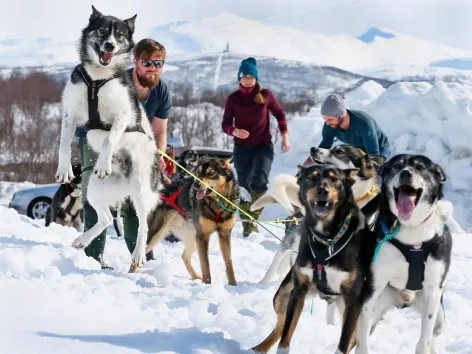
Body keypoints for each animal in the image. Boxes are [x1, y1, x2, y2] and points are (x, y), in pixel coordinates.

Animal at [145, 156, 240, 286]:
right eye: (198, 173)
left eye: (211, 173)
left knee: (184, 256)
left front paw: (233, 285)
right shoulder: (203, 236)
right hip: (156, 234)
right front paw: (207, 284)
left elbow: (228, 262)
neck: (216, 202)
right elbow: (205, 264)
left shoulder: (224, 234)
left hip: (193, 239)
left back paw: (196, 276)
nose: (196, 184)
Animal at [249, 165, 374, 354]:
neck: (327, 240)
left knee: (355, 339)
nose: (323, 191)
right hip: (281, 296)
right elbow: (285, 336)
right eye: (311, 177)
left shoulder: (353, 301)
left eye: (335, 179)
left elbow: (344, 343)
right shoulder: (298, 291)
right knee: (280, 326)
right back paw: (259, 348)